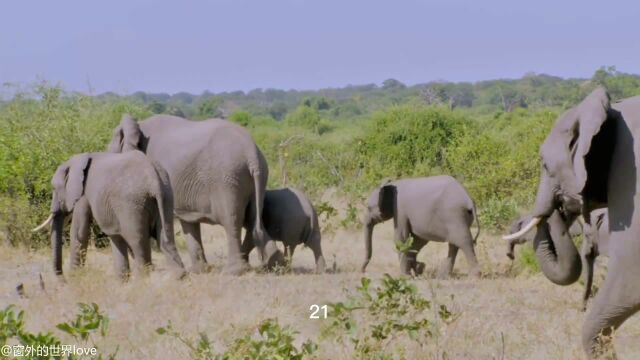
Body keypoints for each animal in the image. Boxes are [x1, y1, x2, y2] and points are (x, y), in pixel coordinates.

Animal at [32, 150, 185, 280]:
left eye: (54, 189)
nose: (63, 280)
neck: (78, 159)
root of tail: (153, 177)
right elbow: (115, 238)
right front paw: (122, 282)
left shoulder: (83, 194)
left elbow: (79, 231)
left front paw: (76, 278)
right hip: (166, 195)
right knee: (165, 239)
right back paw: (177, 278)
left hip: (132, 204)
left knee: (137, 242)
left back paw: (141, 282)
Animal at [109, 114, 284, 274]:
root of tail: (251, 153)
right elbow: (188, 220)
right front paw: (199, 271)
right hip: (255, 177)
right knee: (253, 218)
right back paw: (275, 264)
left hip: (227, 179)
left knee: (231, 220)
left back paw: (234, 271)